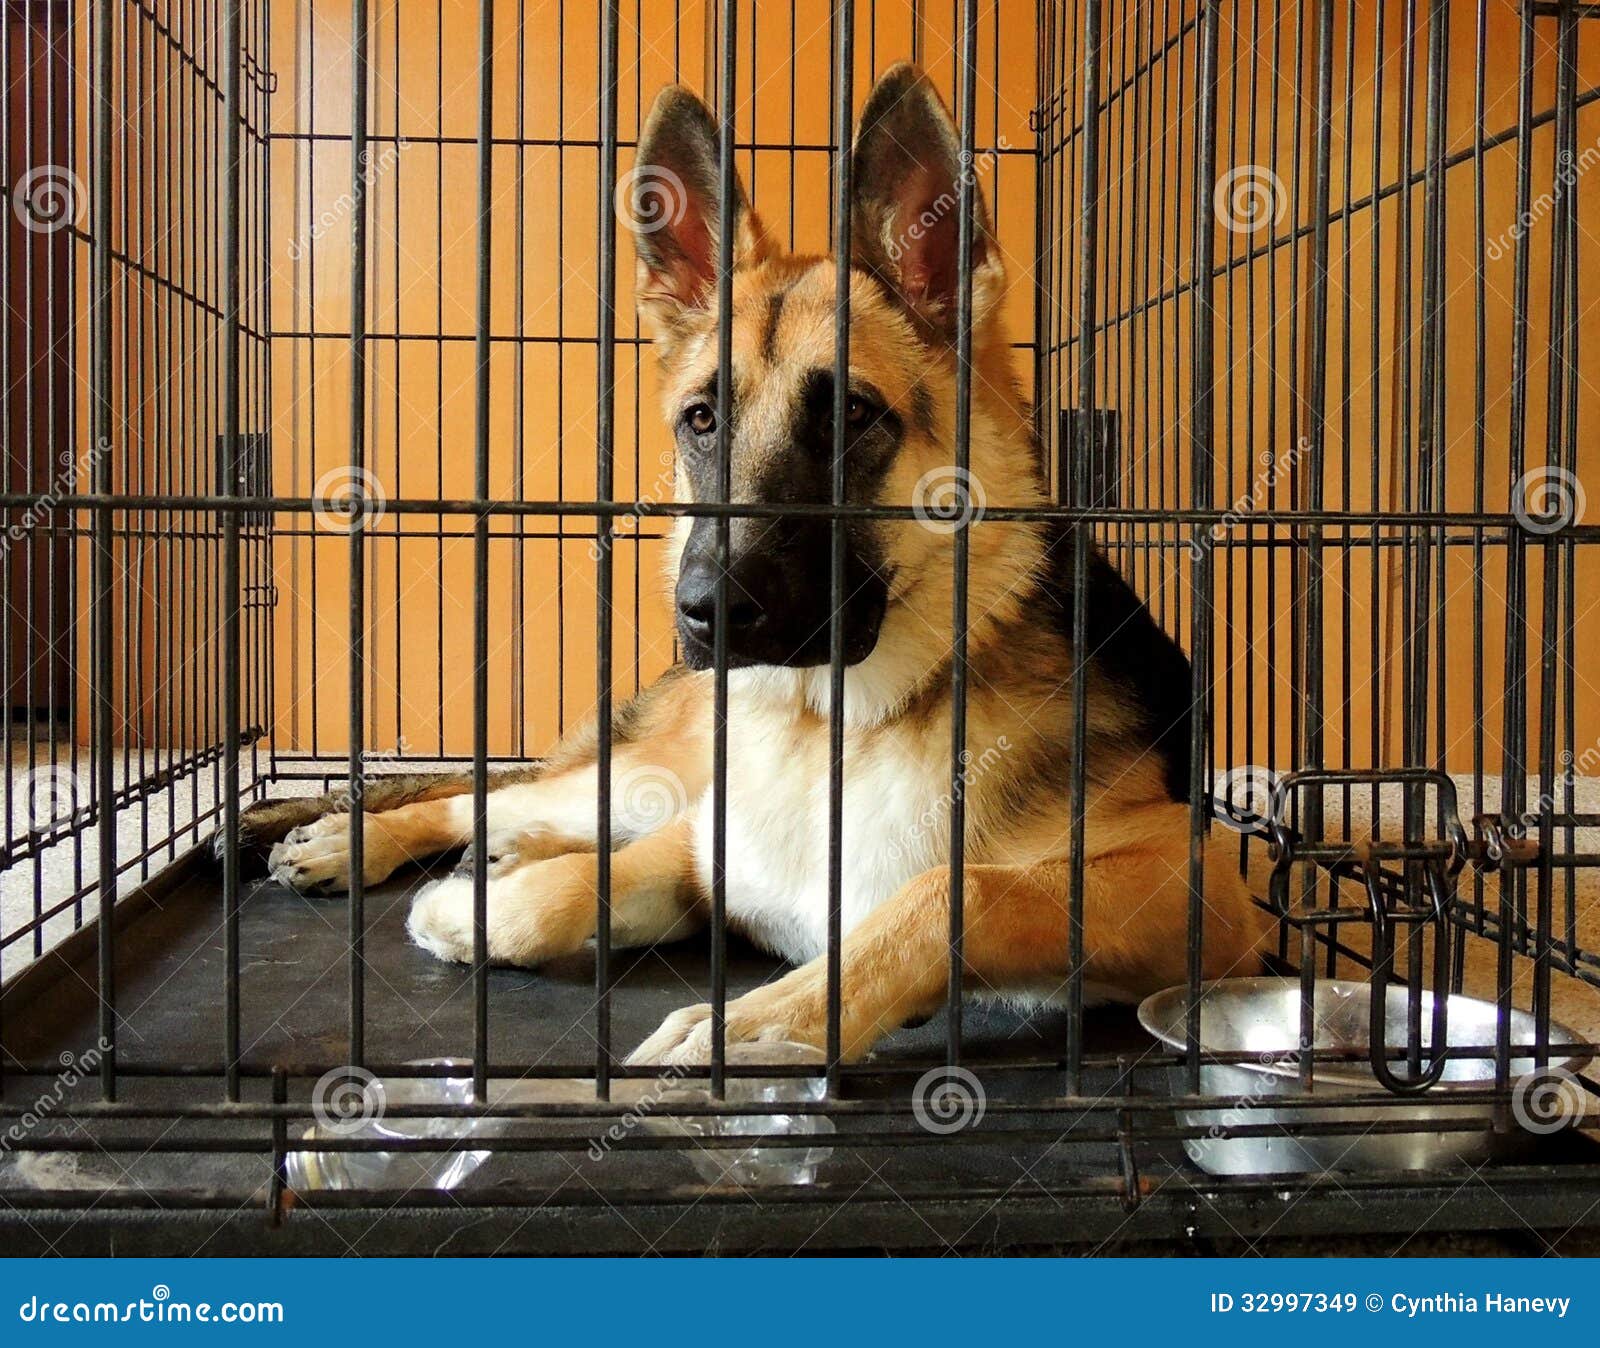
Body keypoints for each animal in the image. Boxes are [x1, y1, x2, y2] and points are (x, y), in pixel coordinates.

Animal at [240, 68, 1260, 1063]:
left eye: (850, 417)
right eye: (701, 421)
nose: (704, 612)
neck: (839, 727)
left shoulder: (1202, 884)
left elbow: (952, 891)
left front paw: (755, 1025)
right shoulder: (700, 843)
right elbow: (572, 888)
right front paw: (478, 908)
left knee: (517, 809)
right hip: (652, 777)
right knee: (494, 795)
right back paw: (355, 840)